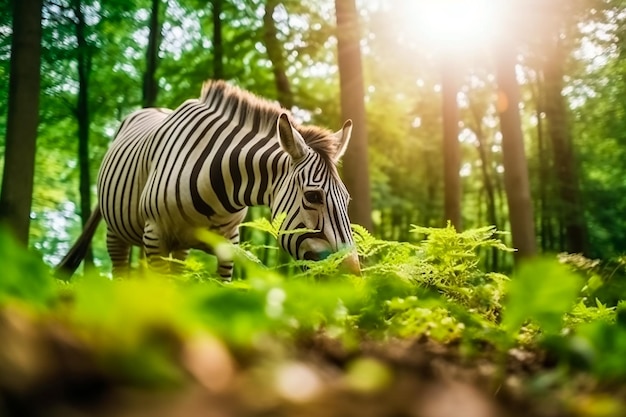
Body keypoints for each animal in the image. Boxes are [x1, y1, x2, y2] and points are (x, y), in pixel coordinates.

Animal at [58, 79, 360, 280]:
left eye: (347, 200)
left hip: (178, 248)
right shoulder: (155, 235)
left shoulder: (229, 245)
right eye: (313, 196)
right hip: (117, 231)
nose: (353, 277)